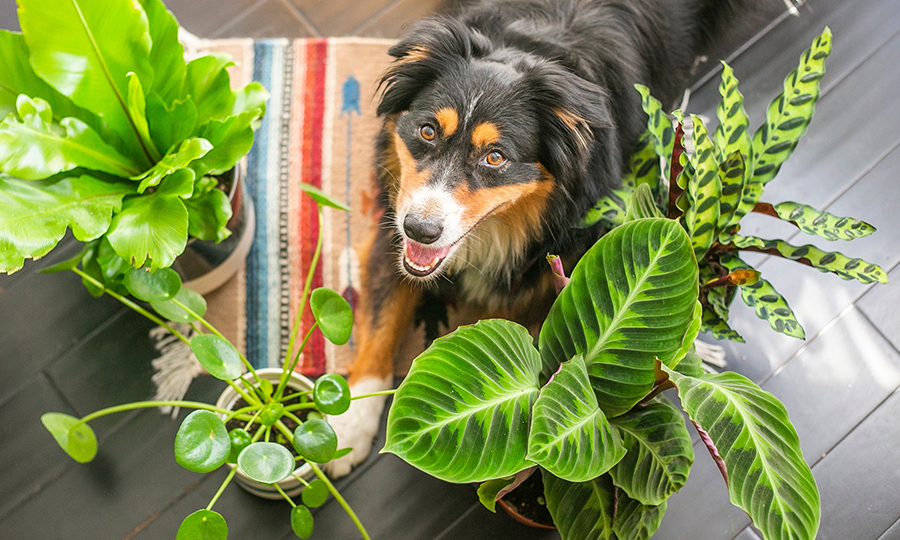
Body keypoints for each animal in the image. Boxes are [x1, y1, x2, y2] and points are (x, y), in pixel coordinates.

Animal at [326, 0, 756, 476]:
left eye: (496, 158)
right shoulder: (394, 219)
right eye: (427, 132)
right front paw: (350, 423)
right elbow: (382, 321)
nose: (419, 229)